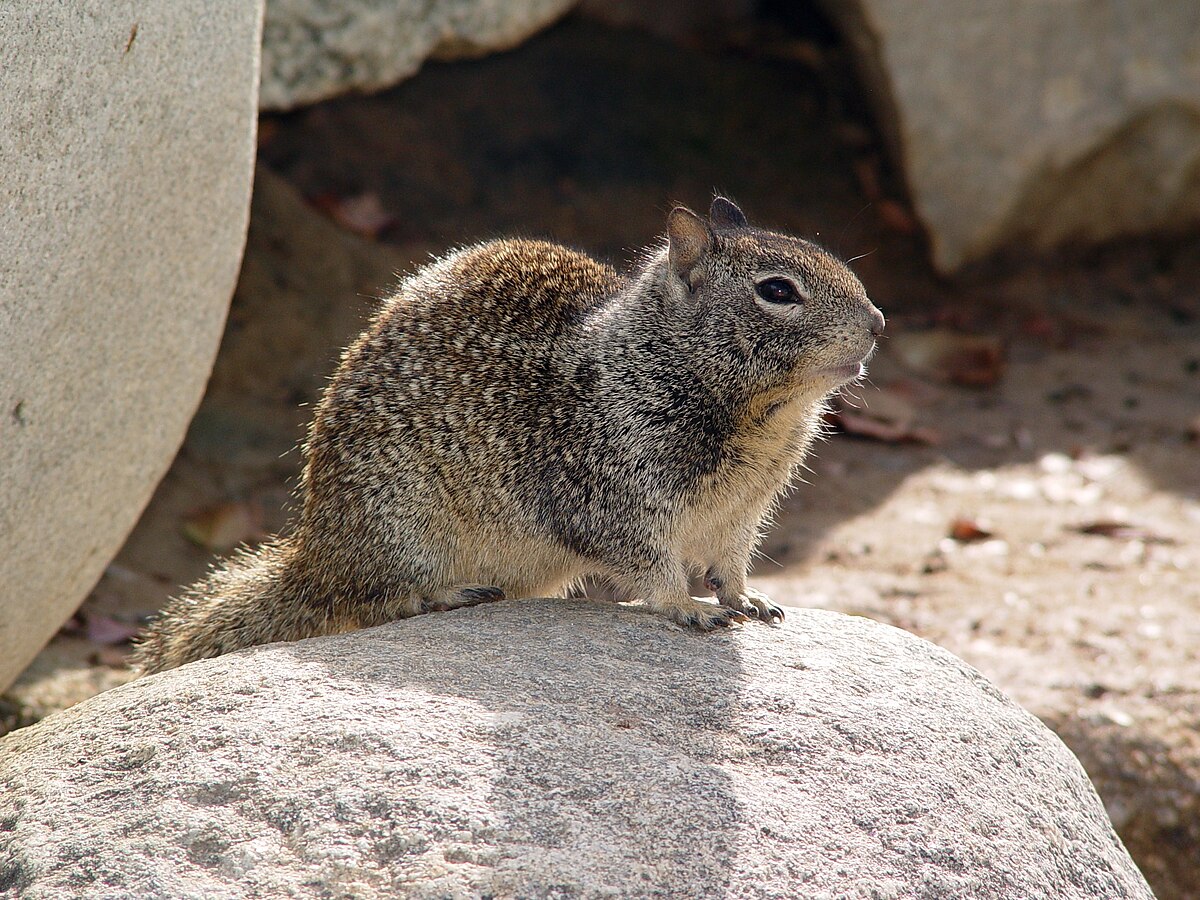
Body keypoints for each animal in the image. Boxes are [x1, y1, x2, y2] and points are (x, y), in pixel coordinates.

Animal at [133, 197, 884, 674]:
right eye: (778, 291)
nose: (878, 322)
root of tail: (312, 556)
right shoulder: (613, 496)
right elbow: (652, 566)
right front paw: (684, 608)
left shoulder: (742, 513)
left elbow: (729, 565)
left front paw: (745, 600)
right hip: (398, 525)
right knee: (372, 602)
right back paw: (445, 595)